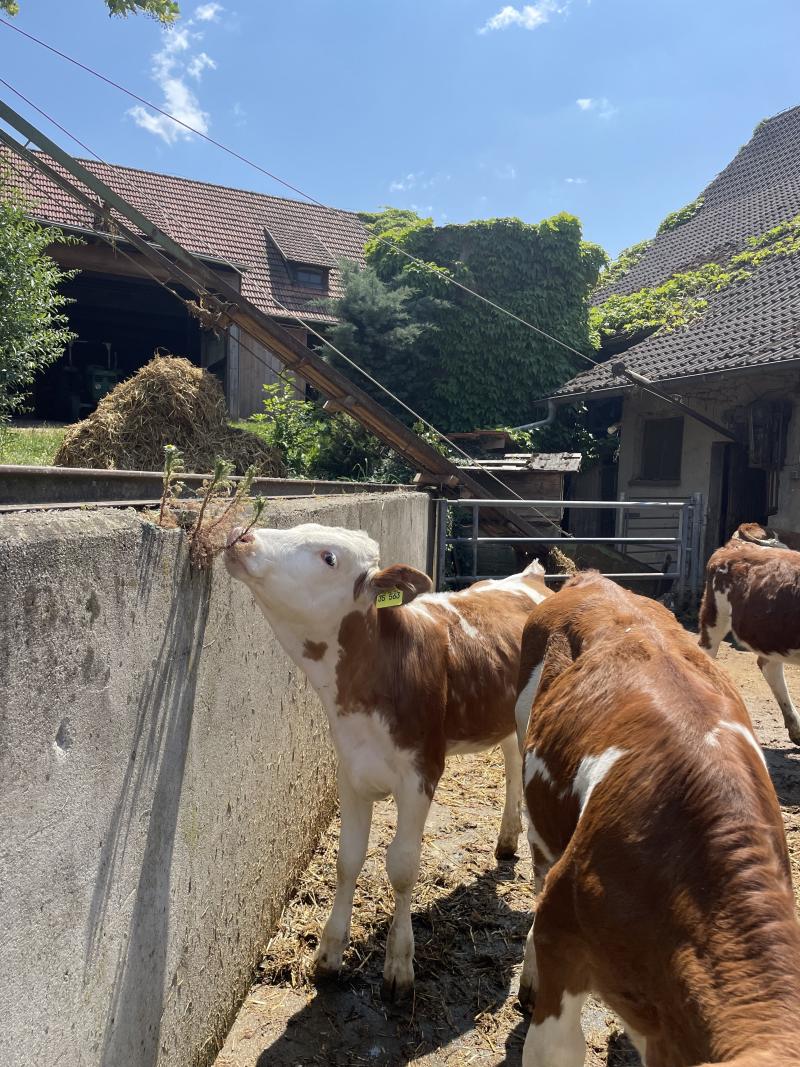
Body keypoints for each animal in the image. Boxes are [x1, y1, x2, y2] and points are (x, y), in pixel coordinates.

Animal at [226, 520, 550, 994]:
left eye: (329, 557)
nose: (241, 536)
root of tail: (529, 578)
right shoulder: (351, 770)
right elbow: (348, 858)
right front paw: (329, 953)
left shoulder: (421, 773)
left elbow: (402, 865)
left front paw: (399, 963)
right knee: (509, 762)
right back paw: (507, 839)